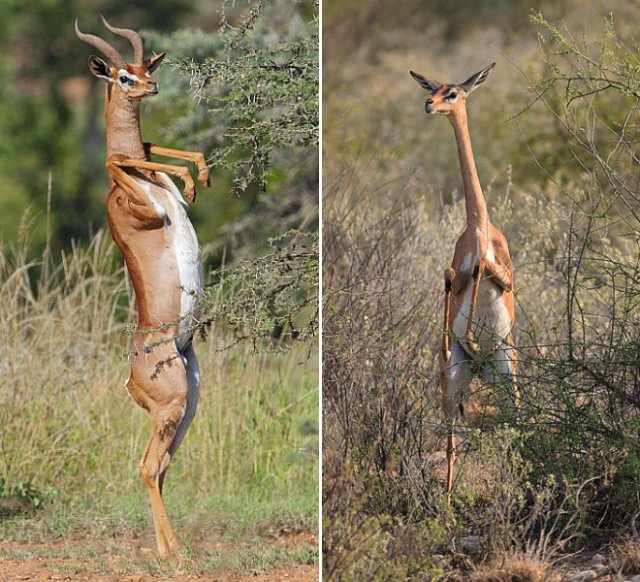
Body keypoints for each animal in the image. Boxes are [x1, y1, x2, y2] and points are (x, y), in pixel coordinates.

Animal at [410, 62, 520, 492]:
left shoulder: (506, 279)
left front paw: (473, 336)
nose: (429, 104)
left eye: (453, 93)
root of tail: (482, 372)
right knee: (452, 439)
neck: (478, 228)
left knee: (517, 424)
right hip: (454, 383)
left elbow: (483, 270)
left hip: (509, 372)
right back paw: (447, 495)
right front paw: (460, 340)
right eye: (433, 89)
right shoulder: (456, 278)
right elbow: (450, 275)